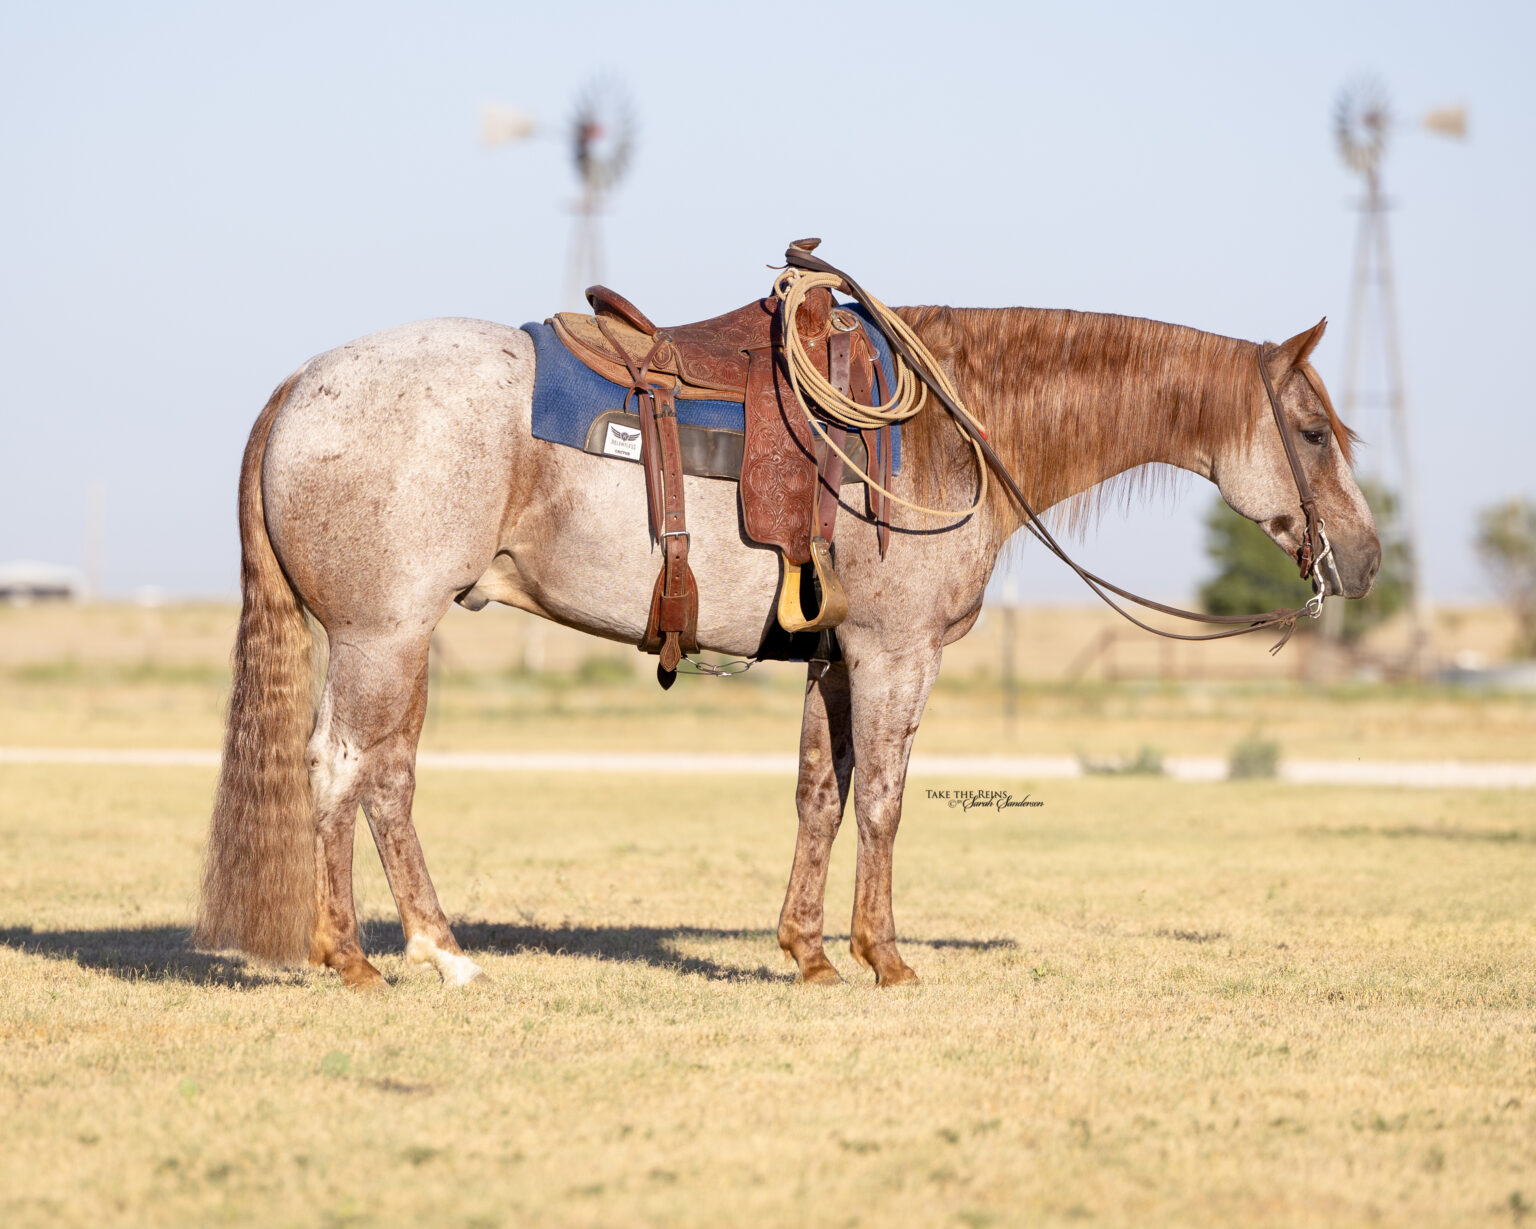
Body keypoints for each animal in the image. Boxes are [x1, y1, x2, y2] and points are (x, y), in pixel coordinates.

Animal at [194, 300, 1380, 990]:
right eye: (1312, 431)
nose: (1366, 558)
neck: (945, 433)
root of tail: (301, 388)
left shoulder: (834, 659)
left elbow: (822, 793)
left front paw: (807, 950)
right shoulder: (898, 652)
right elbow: (886, 799)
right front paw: (885, 956)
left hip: (388, 640)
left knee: (375, 775)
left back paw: (421, 948)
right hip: (384, 634)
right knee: (351, 770)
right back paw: (374, 956)